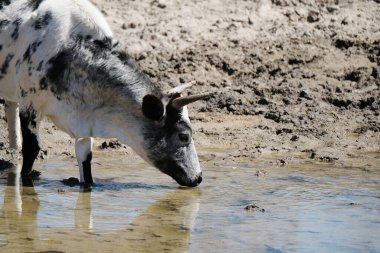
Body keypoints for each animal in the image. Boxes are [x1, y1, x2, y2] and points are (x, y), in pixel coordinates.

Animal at [0, 0, 208, 188]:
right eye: (184, 136)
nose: (198, 178)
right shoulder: (30, 104)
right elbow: (32, 149)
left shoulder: (85, 124)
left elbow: (85, 159)